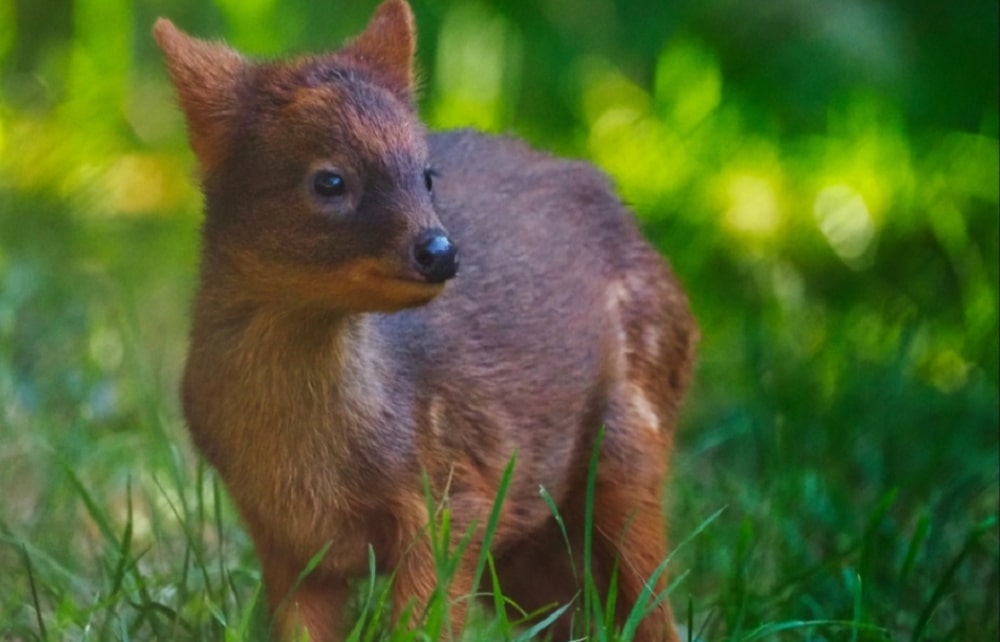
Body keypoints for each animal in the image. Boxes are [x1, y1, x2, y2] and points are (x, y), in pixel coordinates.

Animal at [156, 2, 696, 636]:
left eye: (427, 174)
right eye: (329, 180)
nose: (440, 251)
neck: (305, 463)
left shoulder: (453, 496)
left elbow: (426, 620)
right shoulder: (283, 540)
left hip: (630, 431)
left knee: (653, 604)